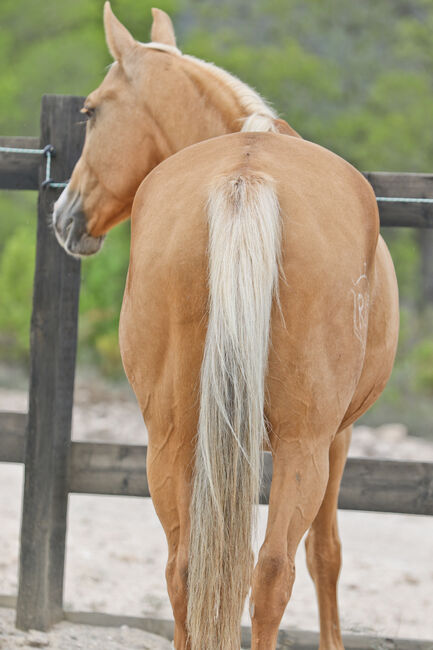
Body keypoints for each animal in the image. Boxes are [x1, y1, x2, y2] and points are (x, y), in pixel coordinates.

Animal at [53, 6, 398, 648]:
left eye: (90, 111)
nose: (64, 215)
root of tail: (247, 173)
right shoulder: (337, 438)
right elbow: (327, 554)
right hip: (302, 448)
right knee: (272, 573)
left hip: (171, 440)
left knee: (185, 567)